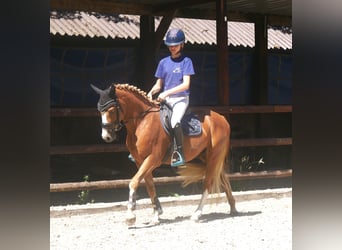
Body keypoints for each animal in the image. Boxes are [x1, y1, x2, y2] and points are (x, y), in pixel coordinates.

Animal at [91, 83, 238, 226]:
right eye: (99, 110)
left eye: (111, 110)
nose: (106, 136)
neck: (141, 122)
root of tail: (222, 118)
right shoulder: (140, 161)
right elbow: (150, 186)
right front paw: (156, 215)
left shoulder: (153, 159)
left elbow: (134, 182)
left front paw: (130, 216)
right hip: (207, 156)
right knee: (223, 178)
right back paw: (233, 208)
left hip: (214, 156)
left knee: (208, 182)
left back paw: (197, 214)